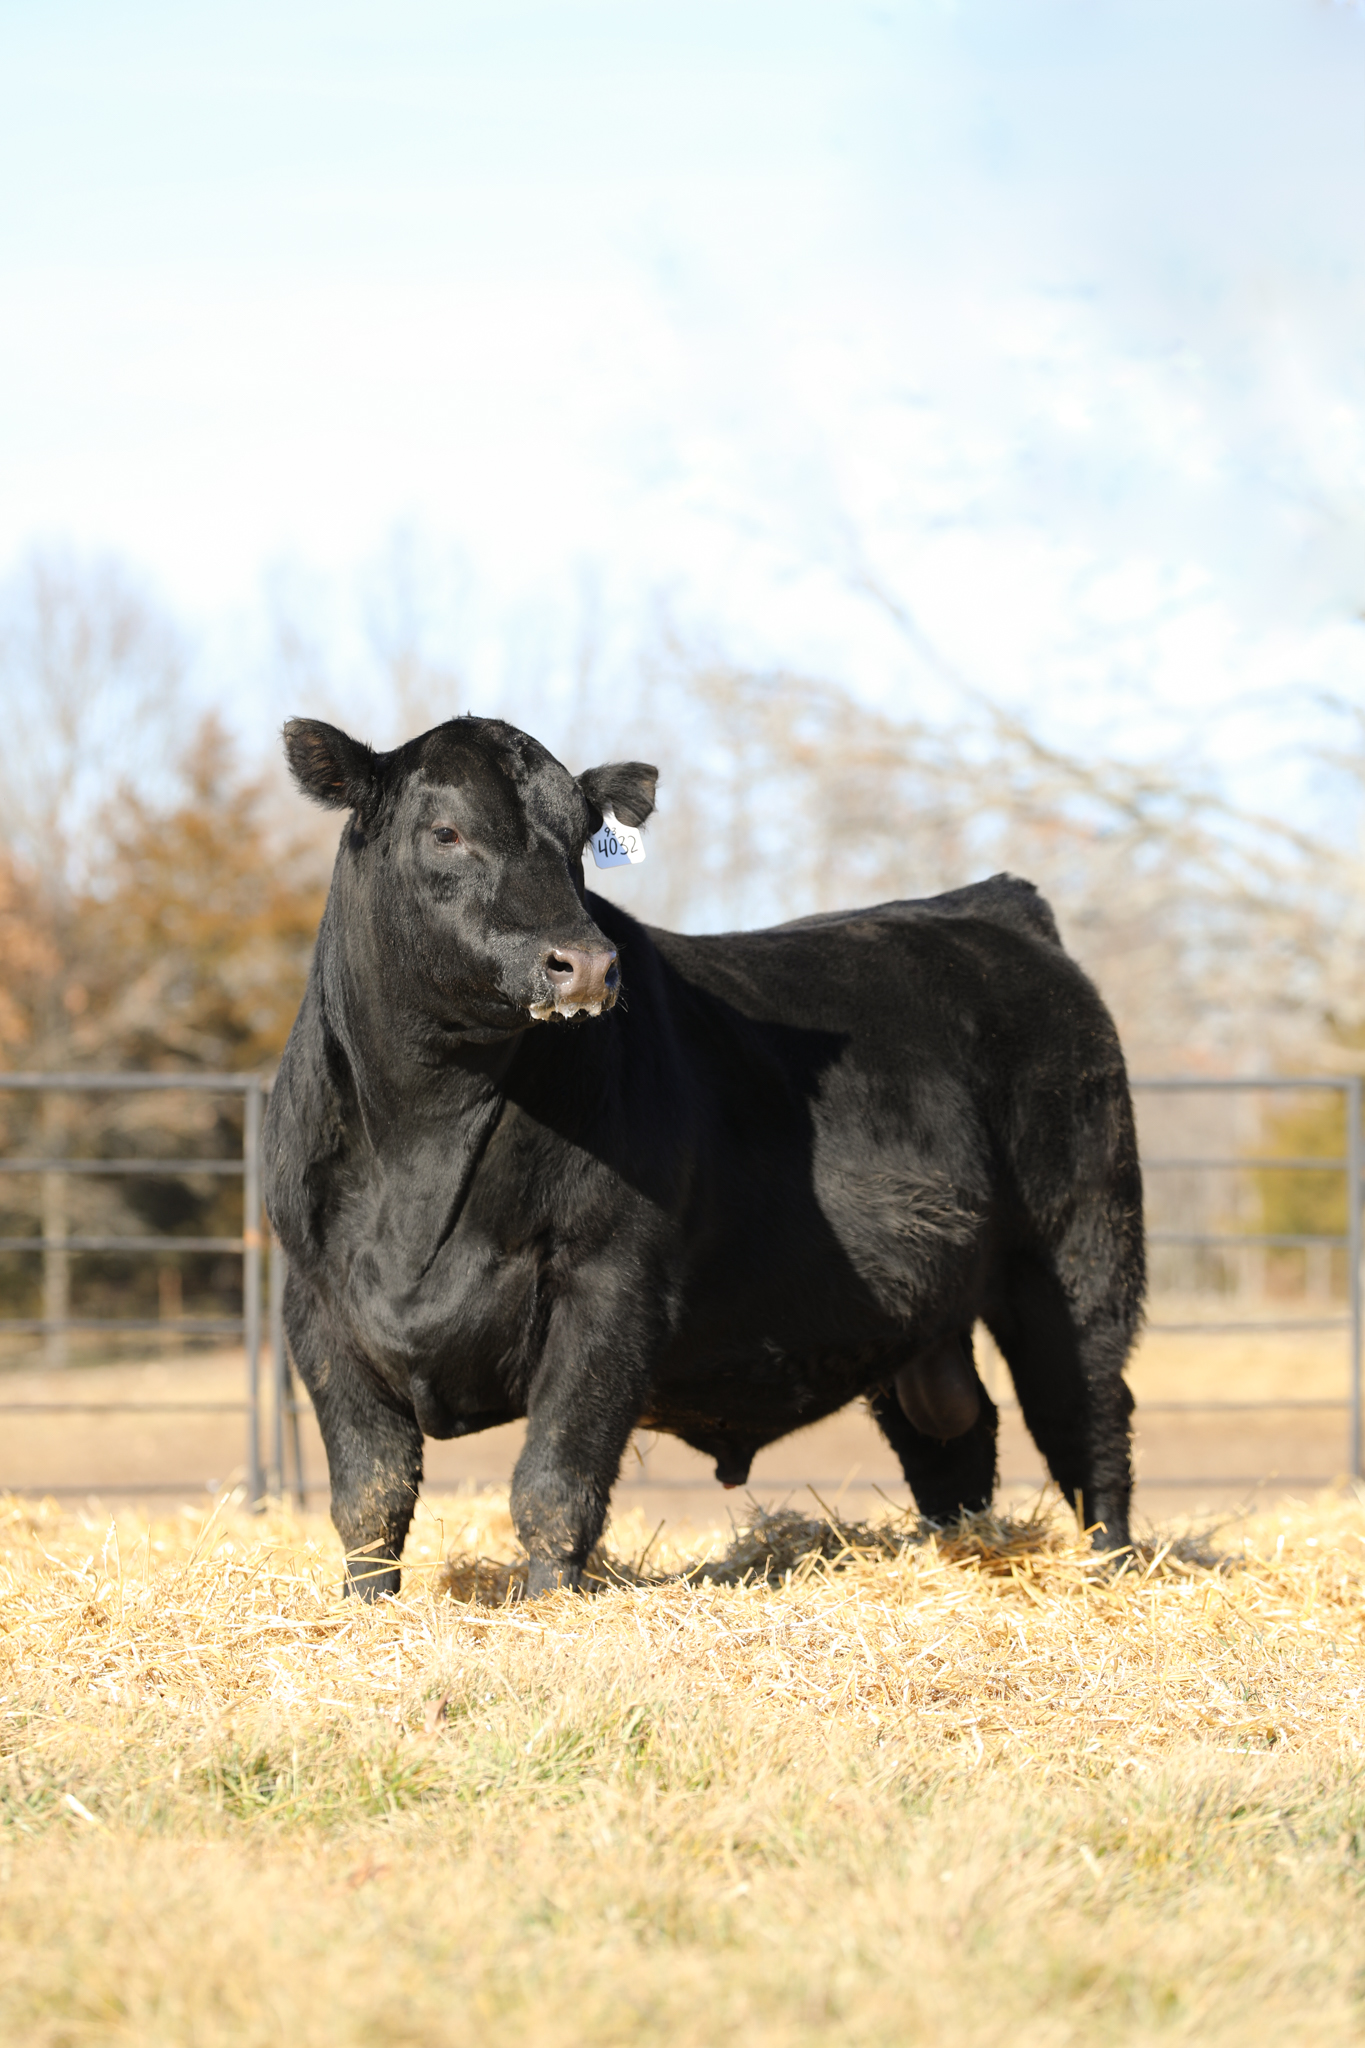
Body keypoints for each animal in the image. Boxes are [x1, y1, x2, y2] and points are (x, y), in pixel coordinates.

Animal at [263, 713, 1144, 1598]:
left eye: (578, 841)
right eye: (445, 832)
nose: (587, 963)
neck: (422, 1151)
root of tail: (980, 906)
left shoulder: (610, 1282)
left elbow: (553, 1485)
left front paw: (547, 1606)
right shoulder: (315, 1303)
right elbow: (370, 1497)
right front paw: (369, 1607)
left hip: (1076, 1255)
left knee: (1085, 1422)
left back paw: (1109, 1568)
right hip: (919, 1306)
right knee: (953, 1439)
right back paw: (959, 1552)